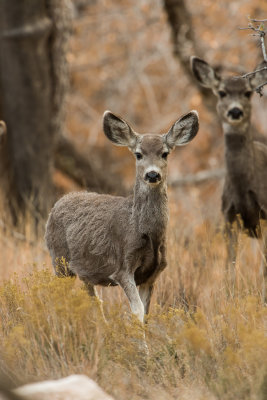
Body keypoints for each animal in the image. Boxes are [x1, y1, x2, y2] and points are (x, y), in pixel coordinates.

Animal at [46, 109, 200, 322]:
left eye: (165, 153)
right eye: (138, 154)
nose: (152, 175)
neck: (143, 230)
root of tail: (57, 204)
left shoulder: (153, 273)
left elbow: (146, 311)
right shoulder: (122, 267)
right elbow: (137, 310)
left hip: (83, 271)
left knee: (94, 300)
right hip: (59, 259)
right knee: (58, 298)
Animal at [192, 56, 266, 298]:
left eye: (248, 92)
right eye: (222, 92)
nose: (235, 112)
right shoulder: (228, 214)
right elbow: (229, 267)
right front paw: (229, 296)